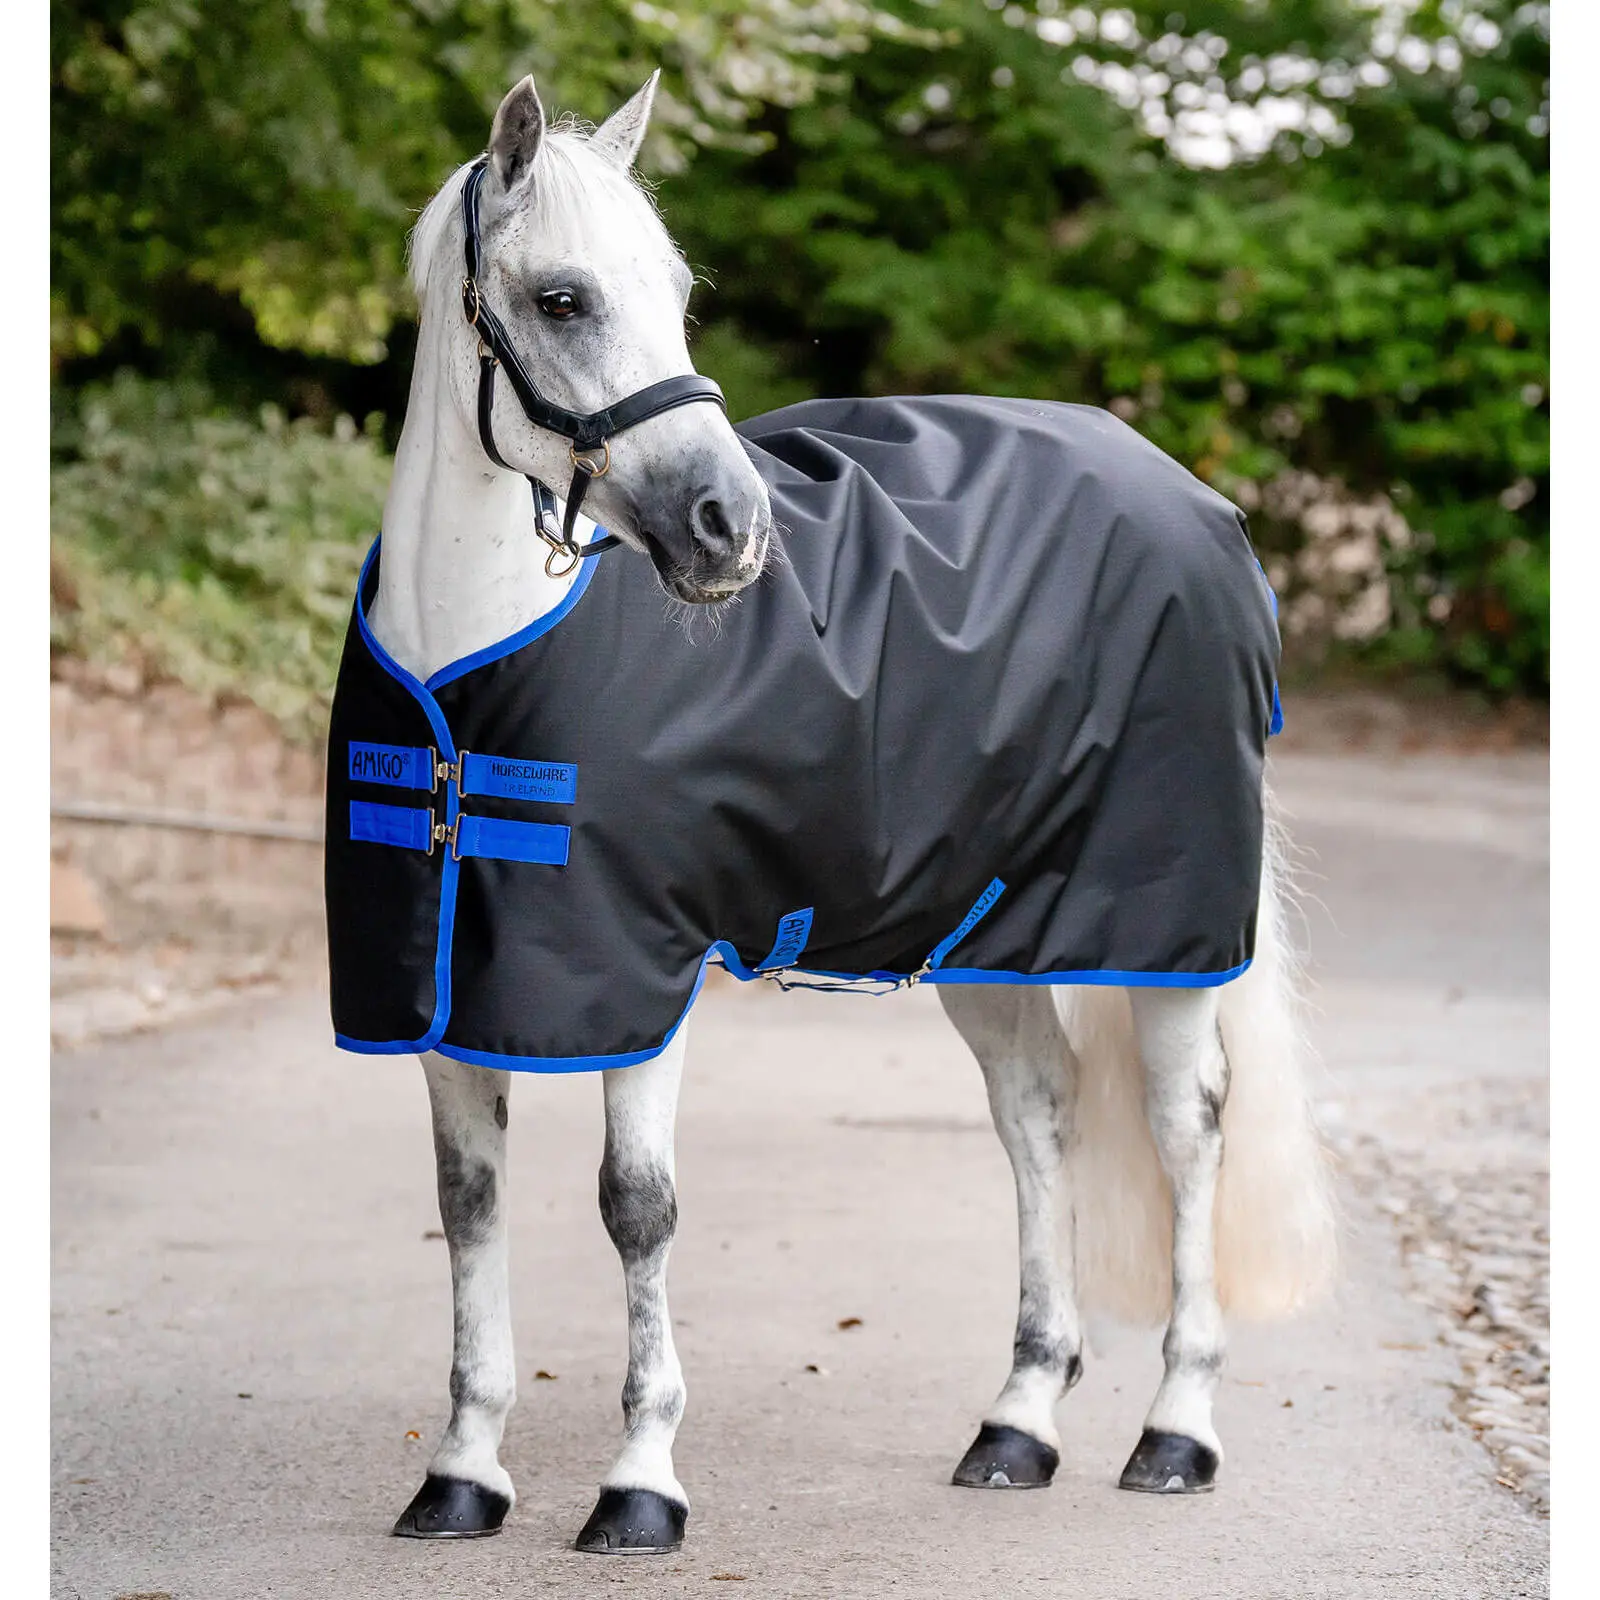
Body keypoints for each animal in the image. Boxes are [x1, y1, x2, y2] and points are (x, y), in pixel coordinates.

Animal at [328, 70, 1338, 1554]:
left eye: (677, 291)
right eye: (564, 298)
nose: (730, 527)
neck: (472, 673)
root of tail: (1200, 504)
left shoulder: (649, 974)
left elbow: (636, 1208)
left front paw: (640, 1484)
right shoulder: (449, 992)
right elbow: (469, 1209)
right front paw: (462, 1471)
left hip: (1164, 929)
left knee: (1185, 1127)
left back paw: (1176, 1430)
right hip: (988, 932)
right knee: (1038, 1115)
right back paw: (1017, 1424)